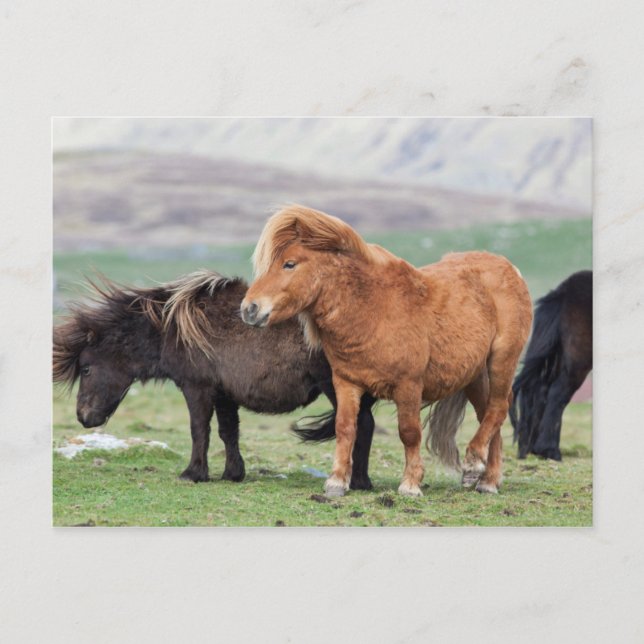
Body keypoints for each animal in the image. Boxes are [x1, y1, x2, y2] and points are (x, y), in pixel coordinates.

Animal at [53, 271, 376, 489]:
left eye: (86, 369)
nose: (83, 417)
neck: (173, 328)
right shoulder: (224, 393)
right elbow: (227, 432)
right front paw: (233, 473)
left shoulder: (197, 388)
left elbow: (199, 430)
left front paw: (193, 473)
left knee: (361, 425)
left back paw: (357, 482)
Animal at [241, 205, 533, 498]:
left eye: (289, 264)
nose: (249, 309)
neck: (373, 310)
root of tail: (510, 268)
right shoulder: (346, 382)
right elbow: (345, 428)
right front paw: (336, 481)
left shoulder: (409, 385)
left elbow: (409, 432)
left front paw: (411, 484)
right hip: (473, 374)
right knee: (488, 413)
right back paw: (488, 479)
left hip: (502, 360)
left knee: (497, 407)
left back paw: (475, 464)